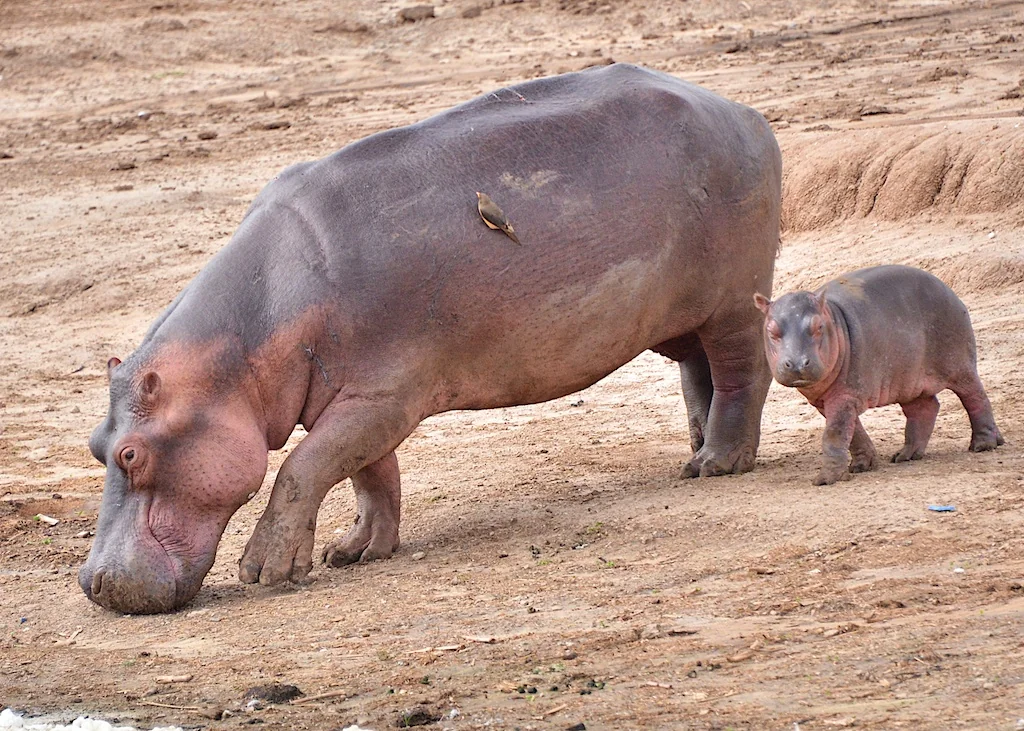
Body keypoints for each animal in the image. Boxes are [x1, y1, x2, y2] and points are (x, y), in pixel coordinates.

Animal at [81, 63, 782, 614]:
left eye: (132, 455)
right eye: (95, 445)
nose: (92, 583)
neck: (237, 354)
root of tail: (741, 110)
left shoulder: (381, 396)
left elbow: (303, 469)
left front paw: (266, 571)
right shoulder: (359, 401)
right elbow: (367, 473)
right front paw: (356, 551)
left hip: (734, 302)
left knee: (742, 372)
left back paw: (719, 463)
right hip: (679, 320)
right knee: (699, 373)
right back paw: (693, 456)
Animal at [754, 265, 1003, 485]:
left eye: (818, 327)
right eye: (771, 331)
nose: (797, 363)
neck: (832, 318)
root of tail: (948, 288)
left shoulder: (845, 395)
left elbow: (835, 433)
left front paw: (825, 480)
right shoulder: (827, 400)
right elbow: (853, 431)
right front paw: (862, 466)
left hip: (959, 365)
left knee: (975, 397)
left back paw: (983, 445)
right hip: (909, 380)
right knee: (925, 408)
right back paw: (905, 455)